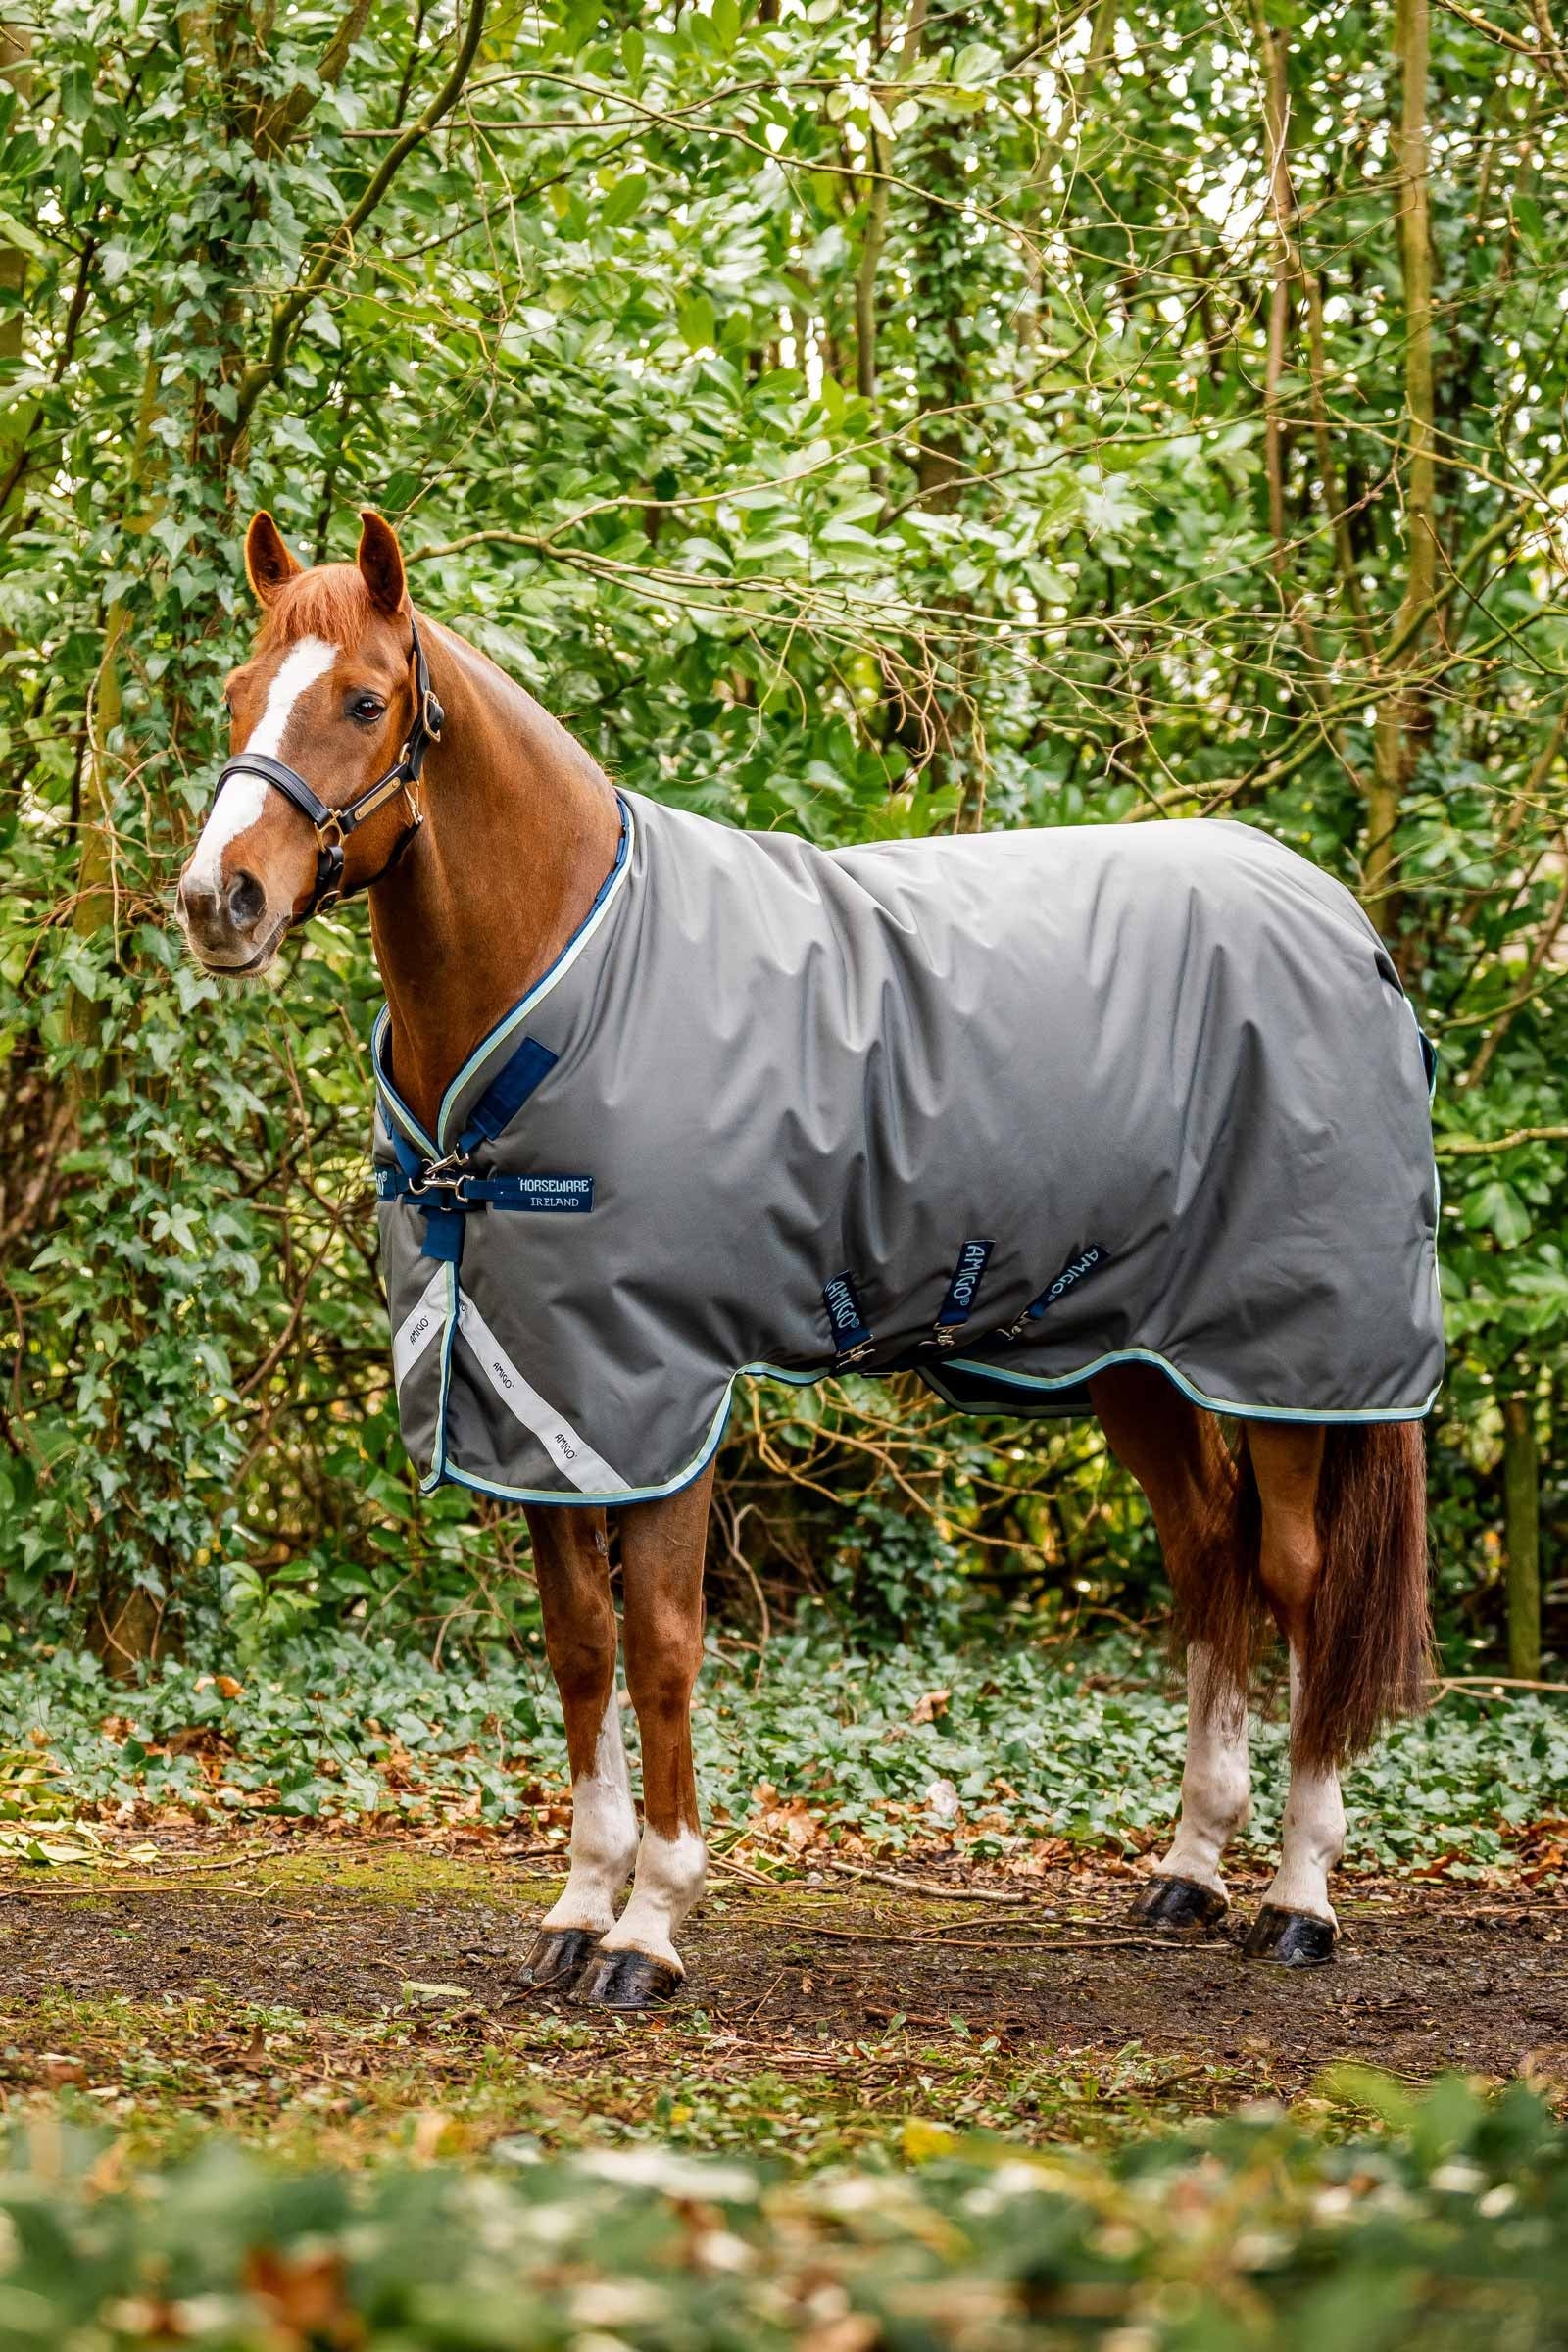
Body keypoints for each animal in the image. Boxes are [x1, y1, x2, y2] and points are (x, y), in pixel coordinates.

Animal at [176, 510, 1437, 2010]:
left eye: (365, 701)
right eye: (239, 694)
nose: (216, 900)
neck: (569, 990)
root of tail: (1341, 921)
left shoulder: (661, 1390)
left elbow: (664, 1649)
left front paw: (650, 1930)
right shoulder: (545, 1399)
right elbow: (580, 1649)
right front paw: (578, 1907)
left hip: (1293, 1364)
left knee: (1297, 1582)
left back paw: (1299, 1896)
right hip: (1141, 1358)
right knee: (1210, 1561)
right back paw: (1188, 1872)